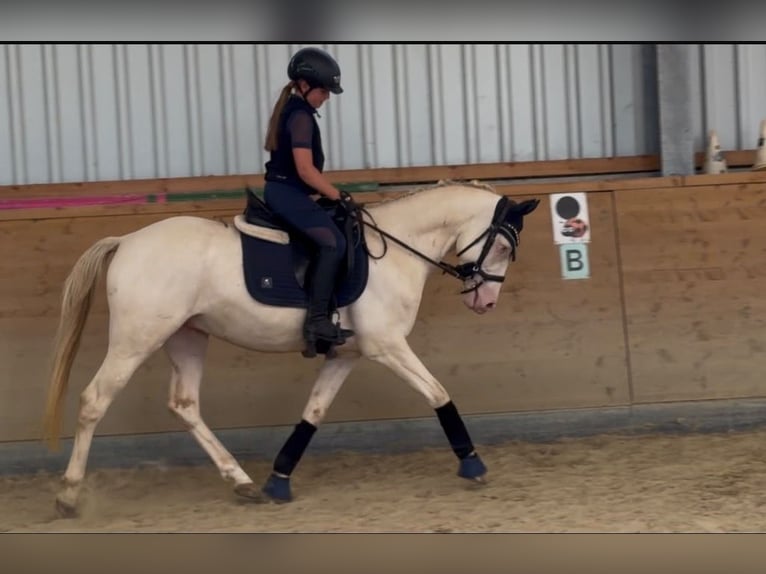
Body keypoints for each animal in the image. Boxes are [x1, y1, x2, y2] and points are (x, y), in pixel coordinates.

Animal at [42, 180, 540, 517]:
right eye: (502, 246)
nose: (485, 302)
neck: (398, 249)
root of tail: (126, 241)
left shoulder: (346, 355)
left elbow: (313, 413)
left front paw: (278, 481)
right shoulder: (387, 346)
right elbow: (438, 393)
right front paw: (473, 463)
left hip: (187, 337)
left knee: (184, 405)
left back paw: (240, 481)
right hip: (136, 339)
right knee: (94, 400)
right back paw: (67, 495)